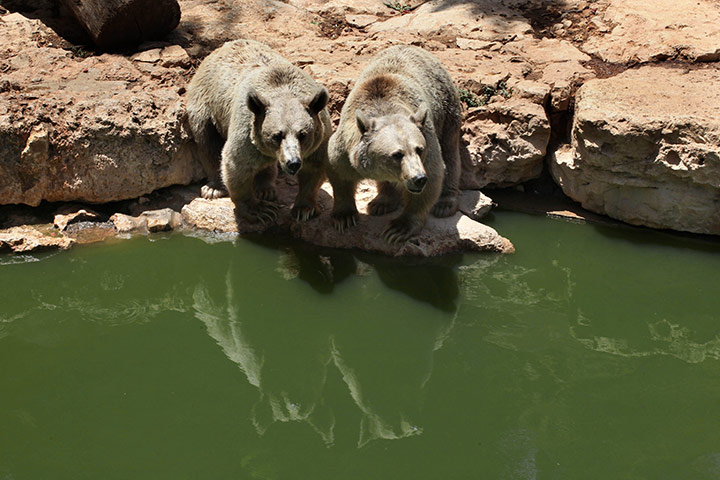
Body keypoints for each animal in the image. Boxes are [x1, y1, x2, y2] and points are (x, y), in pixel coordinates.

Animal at [186, 39, 332, 223]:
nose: (293, 163)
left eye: (302, 134)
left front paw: (305, 209)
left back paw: (265, 189)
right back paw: (214, 188)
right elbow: (237, 164)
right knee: (207, 142)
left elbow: (315, 168)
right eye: (277, 135)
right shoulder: (248, 130)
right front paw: (260, 210)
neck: (283, 90)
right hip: (206, 105)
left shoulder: (319, 135)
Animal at [326, 45, 462, 243]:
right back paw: (381, 202)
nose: (418, 178)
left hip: (446, 109)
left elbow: (434, 172)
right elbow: (339, 171)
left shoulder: (427, 136)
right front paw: (344, 217)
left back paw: (445, 204)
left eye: (419, 149)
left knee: (450, 152)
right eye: (397, 154)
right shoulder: (346, 145)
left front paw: (398, 228)